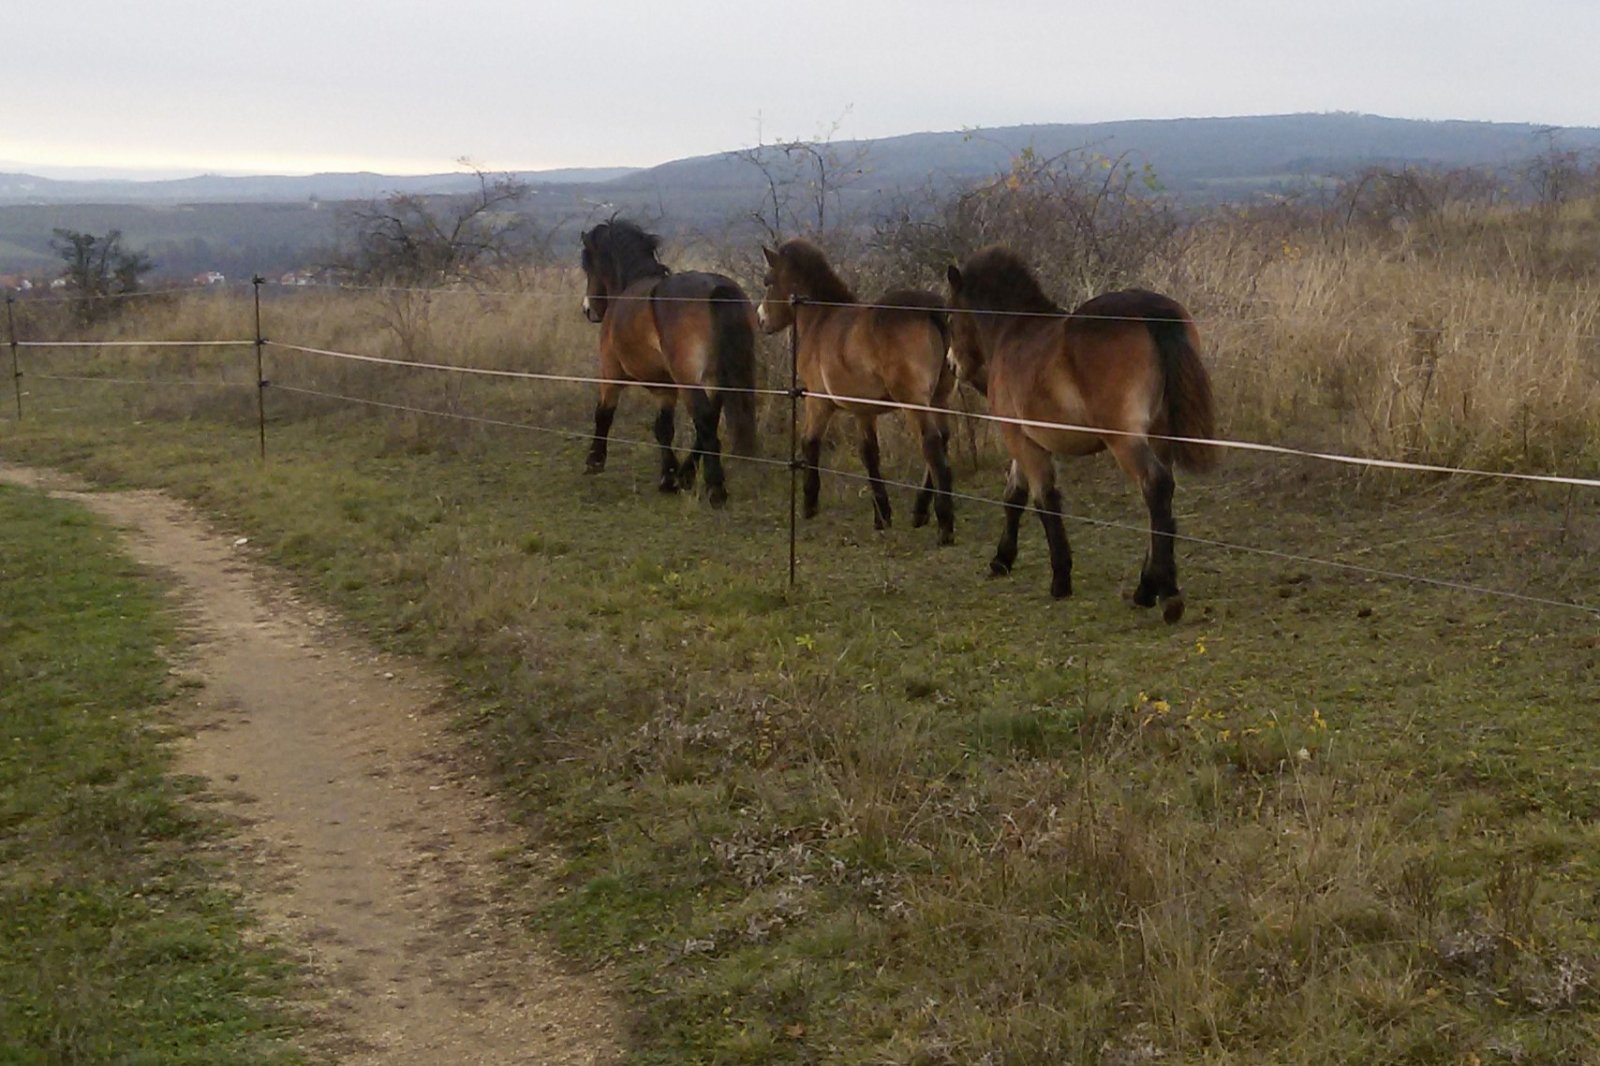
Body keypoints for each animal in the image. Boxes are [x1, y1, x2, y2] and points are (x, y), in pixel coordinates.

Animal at [578, 219, 758, 507]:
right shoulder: (665, 388)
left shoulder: (610, 371)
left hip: (690, 380)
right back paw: (688, 475)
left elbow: (604, 413)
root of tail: (716, 289)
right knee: (709, 420)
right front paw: (669, 476)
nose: (588, 310)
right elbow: (664, 428)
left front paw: (595, 460)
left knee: (704, 418)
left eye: (588, 264)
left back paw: (715, 487)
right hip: (715, 378)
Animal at [756, 239, 956, 543]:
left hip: (915, 402)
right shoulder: (864, 411)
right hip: (940, 397)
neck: (821, 319)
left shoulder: (818, 402)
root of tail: (932, 312)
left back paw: (944, 525)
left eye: (768, 281)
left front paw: (809, 505)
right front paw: (881, 515)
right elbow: (869, 454)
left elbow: (809, 442)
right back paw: (920, 512)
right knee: (942, 440)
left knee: (931, 444)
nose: (760, 319)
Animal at [944, 247, 1216, 620]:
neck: (1012, 332)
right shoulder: (1030, 440)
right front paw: (1001, 559)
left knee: (1155, 486)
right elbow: (1014, 495)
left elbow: (1044, 500)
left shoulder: (1020, 438)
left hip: (1124, 439)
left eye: (949, 317)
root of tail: (1150, 313)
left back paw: (1165, 596)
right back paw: (1147, 587)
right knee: (1161, 498)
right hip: (1160, 435)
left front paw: (1060, 579)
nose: (951, 364)